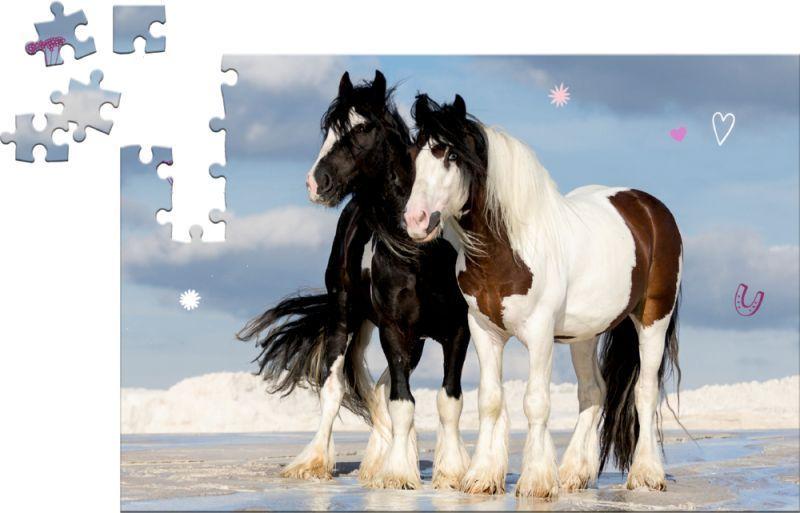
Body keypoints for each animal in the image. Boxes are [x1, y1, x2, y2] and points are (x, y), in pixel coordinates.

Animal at [238, 71, 471, 490]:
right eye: (329, 130)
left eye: (362, 128)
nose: (316, 182)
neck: (421, 253)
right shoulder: (394, 328)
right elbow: (401, 402)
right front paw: (397, 474)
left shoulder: (457, 329)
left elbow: (448, 401)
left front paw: (451, 472)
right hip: (346, 313)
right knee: (335, 388)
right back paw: (314, 462)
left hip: (412, 340)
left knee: (380, 389)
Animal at [402, 94, 682, 499]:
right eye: (414, 156)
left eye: (451, 155)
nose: (416, 220)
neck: (507, 248)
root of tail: (650, 209)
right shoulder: (484, 332)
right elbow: (489, 401)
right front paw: (482, 477)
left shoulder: (539, 334)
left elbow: (535, 403)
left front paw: (535, 481)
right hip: (585, 334)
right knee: (593, 392)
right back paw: (574, 474)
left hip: (653, 320)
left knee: (644, 391)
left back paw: (646, 475)